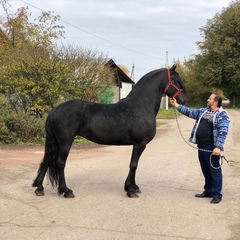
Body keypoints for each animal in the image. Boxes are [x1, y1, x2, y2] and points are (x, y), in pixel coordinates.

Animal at [32, 63, 186, 197]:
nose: (184, 99)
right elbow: (133, 165)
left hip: (56, 142)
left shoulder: (138, 145)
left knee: (47, 160)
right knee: (60, 163)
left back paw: (39, 188)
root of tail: (54, 110)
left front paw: (134, 187)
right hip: (65, 143)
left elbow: (134, 165)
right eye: (176, 80)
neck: (140, 106)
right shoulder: (139, 144)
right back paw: (66, 191)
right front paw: (130, 190)